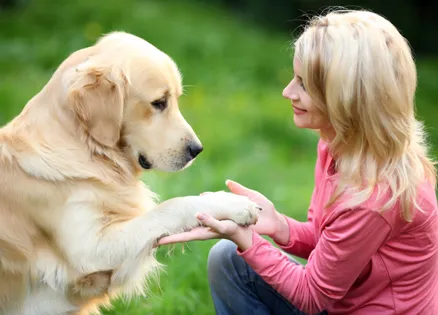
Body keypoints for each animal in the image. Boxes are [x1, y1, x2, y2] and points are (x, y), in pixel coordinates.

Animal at [0, 32, 260, 315]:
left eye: (175, 100)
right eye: (159, 103)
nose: (196, 150)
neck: (86, 150)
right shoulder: (89, 251)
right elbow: (171, 206)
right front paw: (233, 203)